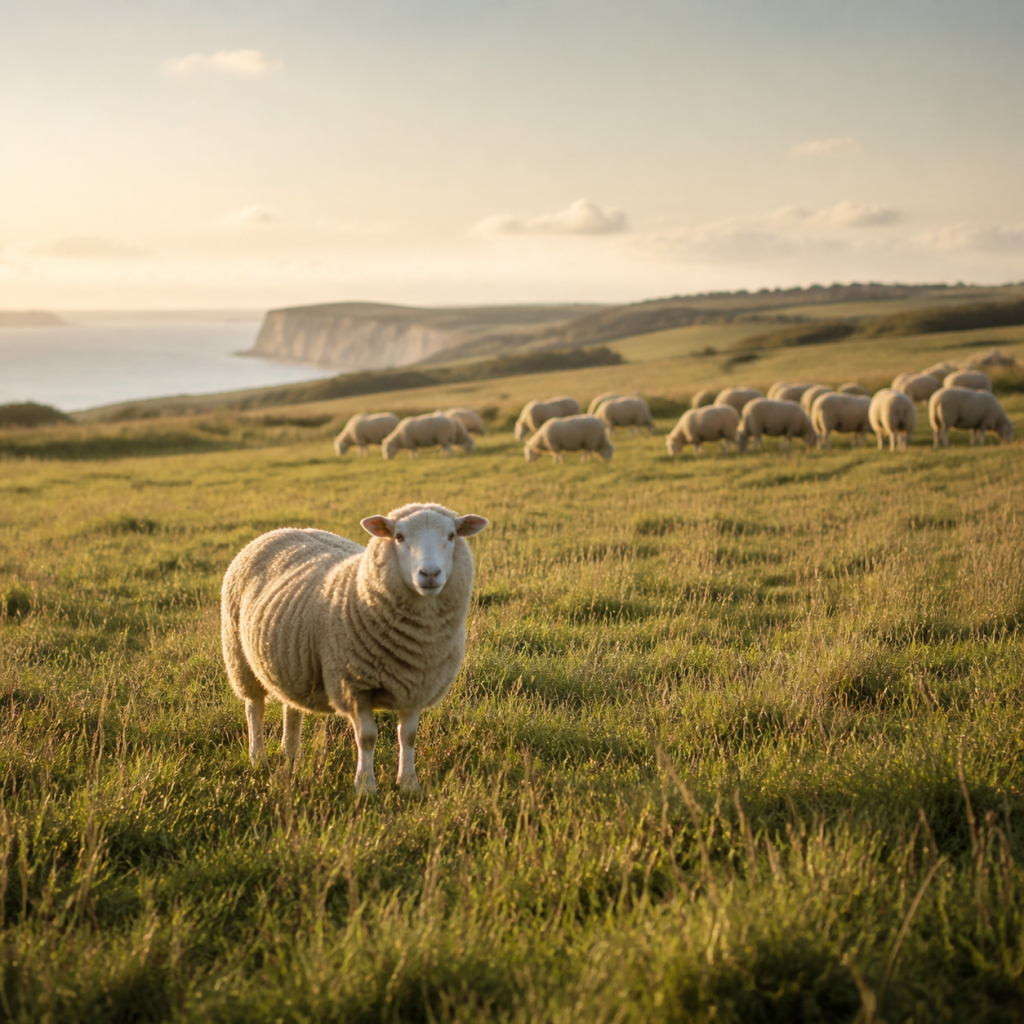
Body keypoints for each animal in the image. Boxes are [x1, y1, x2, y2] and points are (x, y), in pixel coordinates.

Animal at [221, 503, 489, 793]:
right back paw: (257, 758)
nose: (430, 574)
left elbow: (408, 736)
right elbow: (367, 738)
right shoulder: (353, 686)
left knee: (291, 707)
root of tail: (282, 530)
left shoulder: (416, 686)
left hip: (291, 662)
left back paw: (291, 754)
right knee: (254, 707)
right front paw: (365, 787)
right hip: (239, 656)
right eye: (399, 537)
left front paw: (408, 783)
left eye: (451, 535)